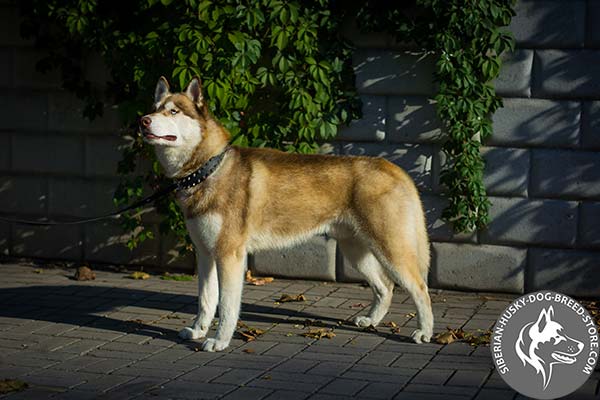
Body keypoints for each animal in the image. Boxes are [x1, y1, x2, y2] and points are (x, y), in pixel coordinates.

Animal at [139, 76, 434, 352]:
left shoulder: (229, 255)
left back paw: (425, 332)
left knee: (420, 288)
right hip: (355, 251)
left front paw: (220, 341)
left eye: (173, 111)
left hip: (391, 249)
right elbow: (206, 301)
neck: (208, 168)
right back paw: (372, 320)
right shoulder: (205, 254)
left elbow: (227, 306)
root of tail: (393, 167)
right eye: (155, 108)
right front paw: (198, 331)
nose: (143, 121)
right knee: (385, 287)